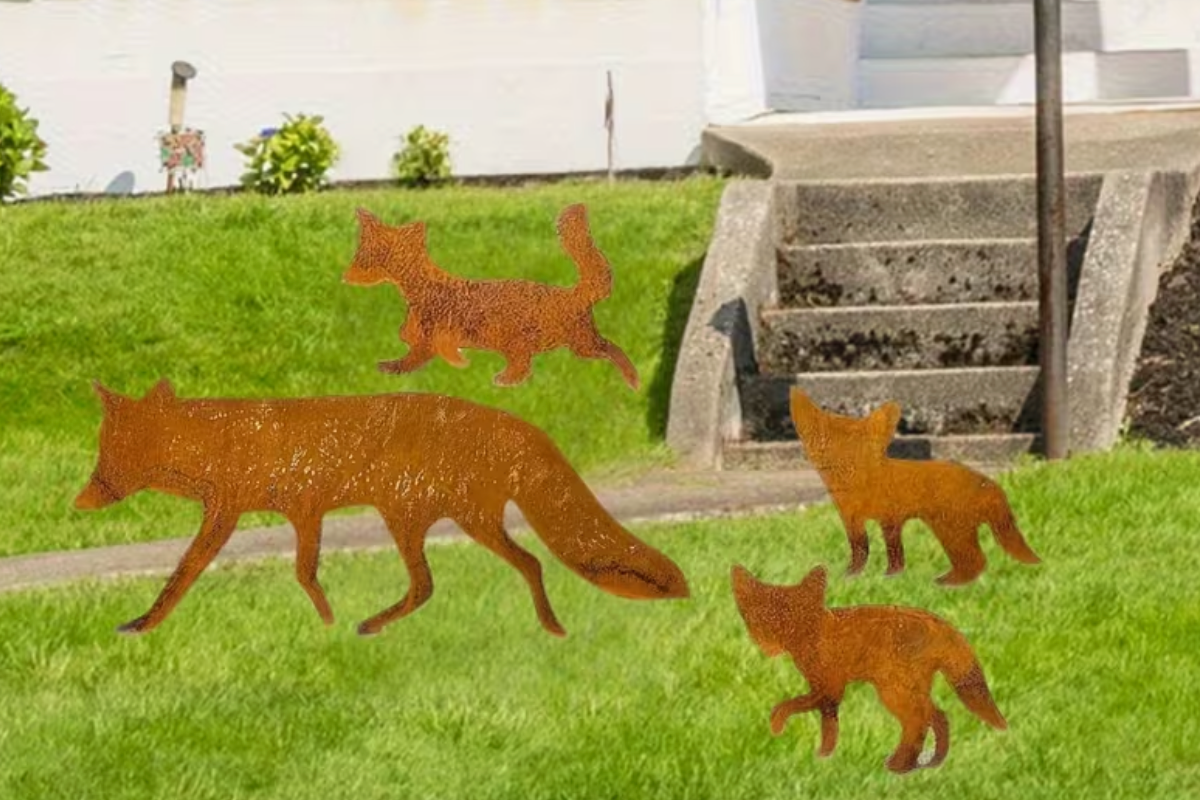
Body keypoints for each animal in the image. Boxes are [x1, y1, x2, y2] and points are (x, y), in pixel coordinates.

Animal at [73, 379, 689, 636]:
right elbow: (304, 571)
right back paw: (550, 625)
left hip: (419, 519)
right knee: (519, 566)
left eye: (111, 455)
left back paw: (375, 625)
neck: (217, 442)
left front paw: (145, 623)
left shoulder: (239, 514)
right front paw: (323, 620)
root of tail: (513, 423)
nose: (81, 500)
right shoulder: (304, 511)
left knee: (435, 584)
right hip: (456, 522)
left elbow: (183, 573)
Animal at [342, 203, 640, 390]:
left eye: (362, 255)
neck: (420, 287)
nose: (343, 276)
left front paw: (390, 367)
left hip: (565, 344)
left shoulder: (428, 342)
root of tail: (575, 293)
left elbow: (408, 361)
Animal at [731, 564, 1008, 773]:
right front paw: (824, 757)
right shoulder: (827, 693)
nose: (769, 643)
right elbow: (829, 727)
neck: (814, 635)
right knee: (939, 715)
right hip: (908, 691)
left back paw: (900, 765)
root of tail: (935, 620)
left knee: (918, 722)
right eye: (762, 617)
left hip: (894, 692)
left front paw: (779, 726)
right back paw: (932, 762)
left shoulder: (829, 688)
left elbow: (790, 706)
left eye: (794, 617)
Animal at [788, 387, 1041, 585]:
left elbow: (892, 553)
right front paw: (853, 575)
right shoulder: (855, 522)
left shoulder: (890, 519)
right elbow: (861, 552)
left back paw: (945, 583)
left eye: (859, 447)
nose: (841, 462)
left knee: (977, 561)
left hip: (951, 530)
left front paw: (887, 576)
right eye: (825, 443)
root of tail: (985, 480)